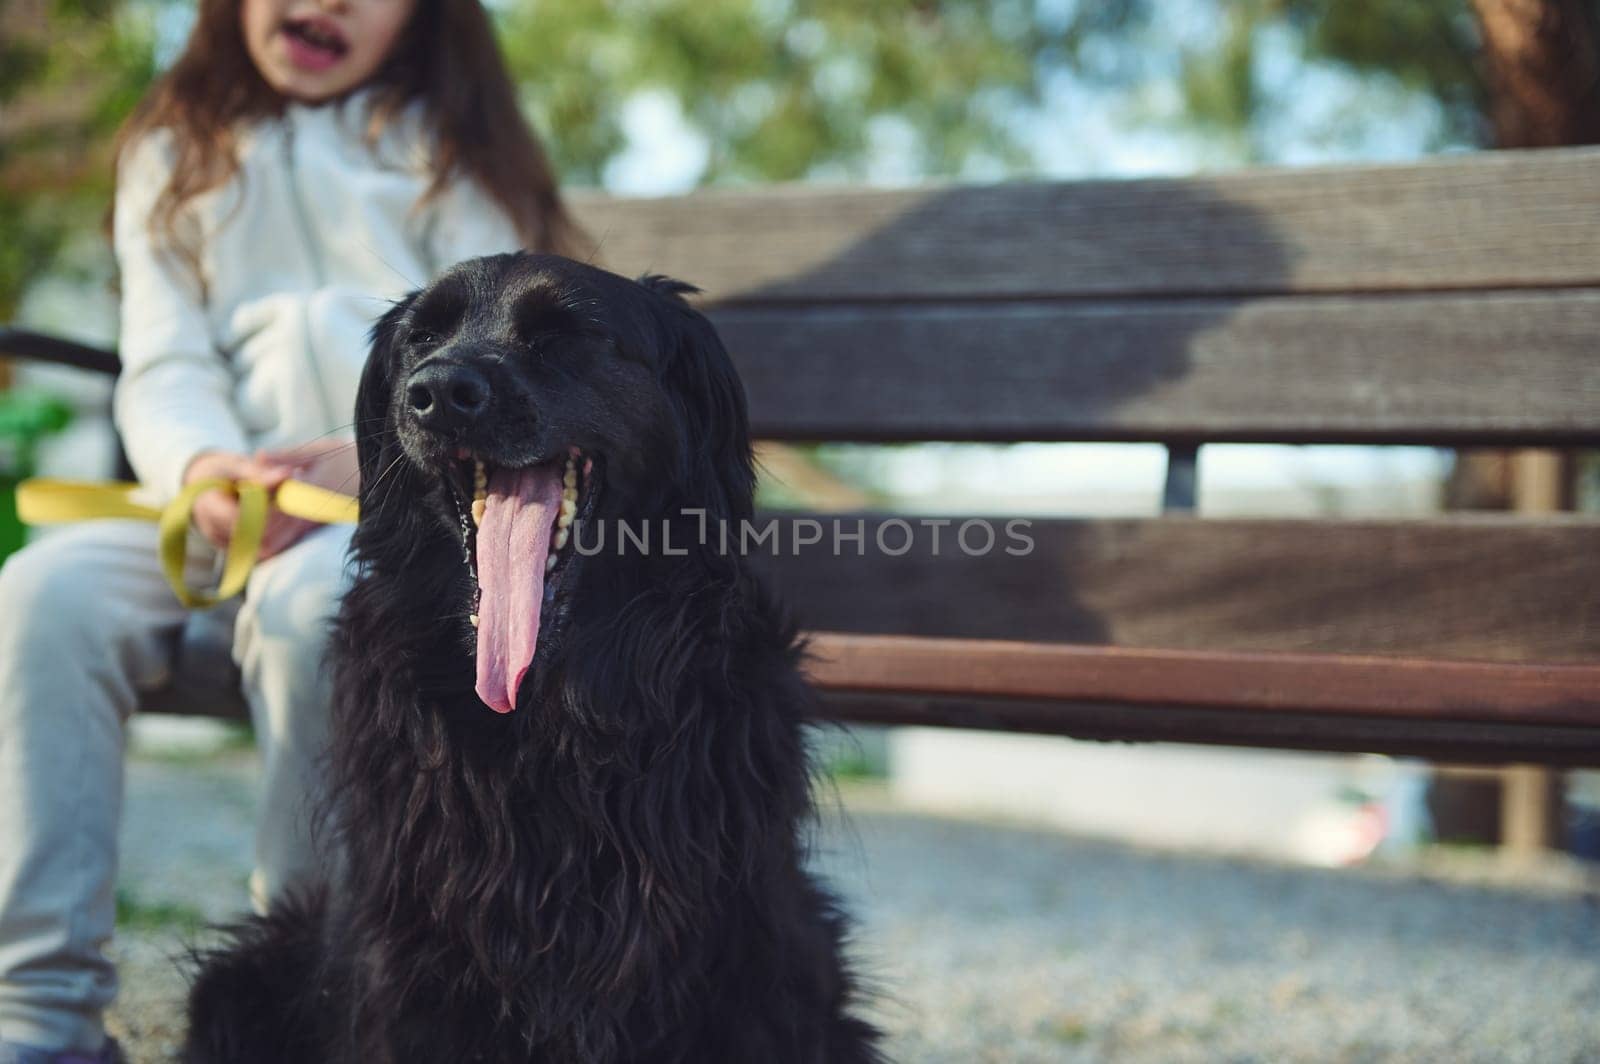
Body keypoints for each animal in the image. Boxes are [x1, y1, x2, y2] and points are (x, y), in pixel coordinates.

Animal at [190, 252, 889, 1056]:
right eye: (420, 338)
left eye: (566, 335)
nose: (438, 393)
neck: (546, 718)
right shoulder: (404, 953)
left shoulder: (748, 957)